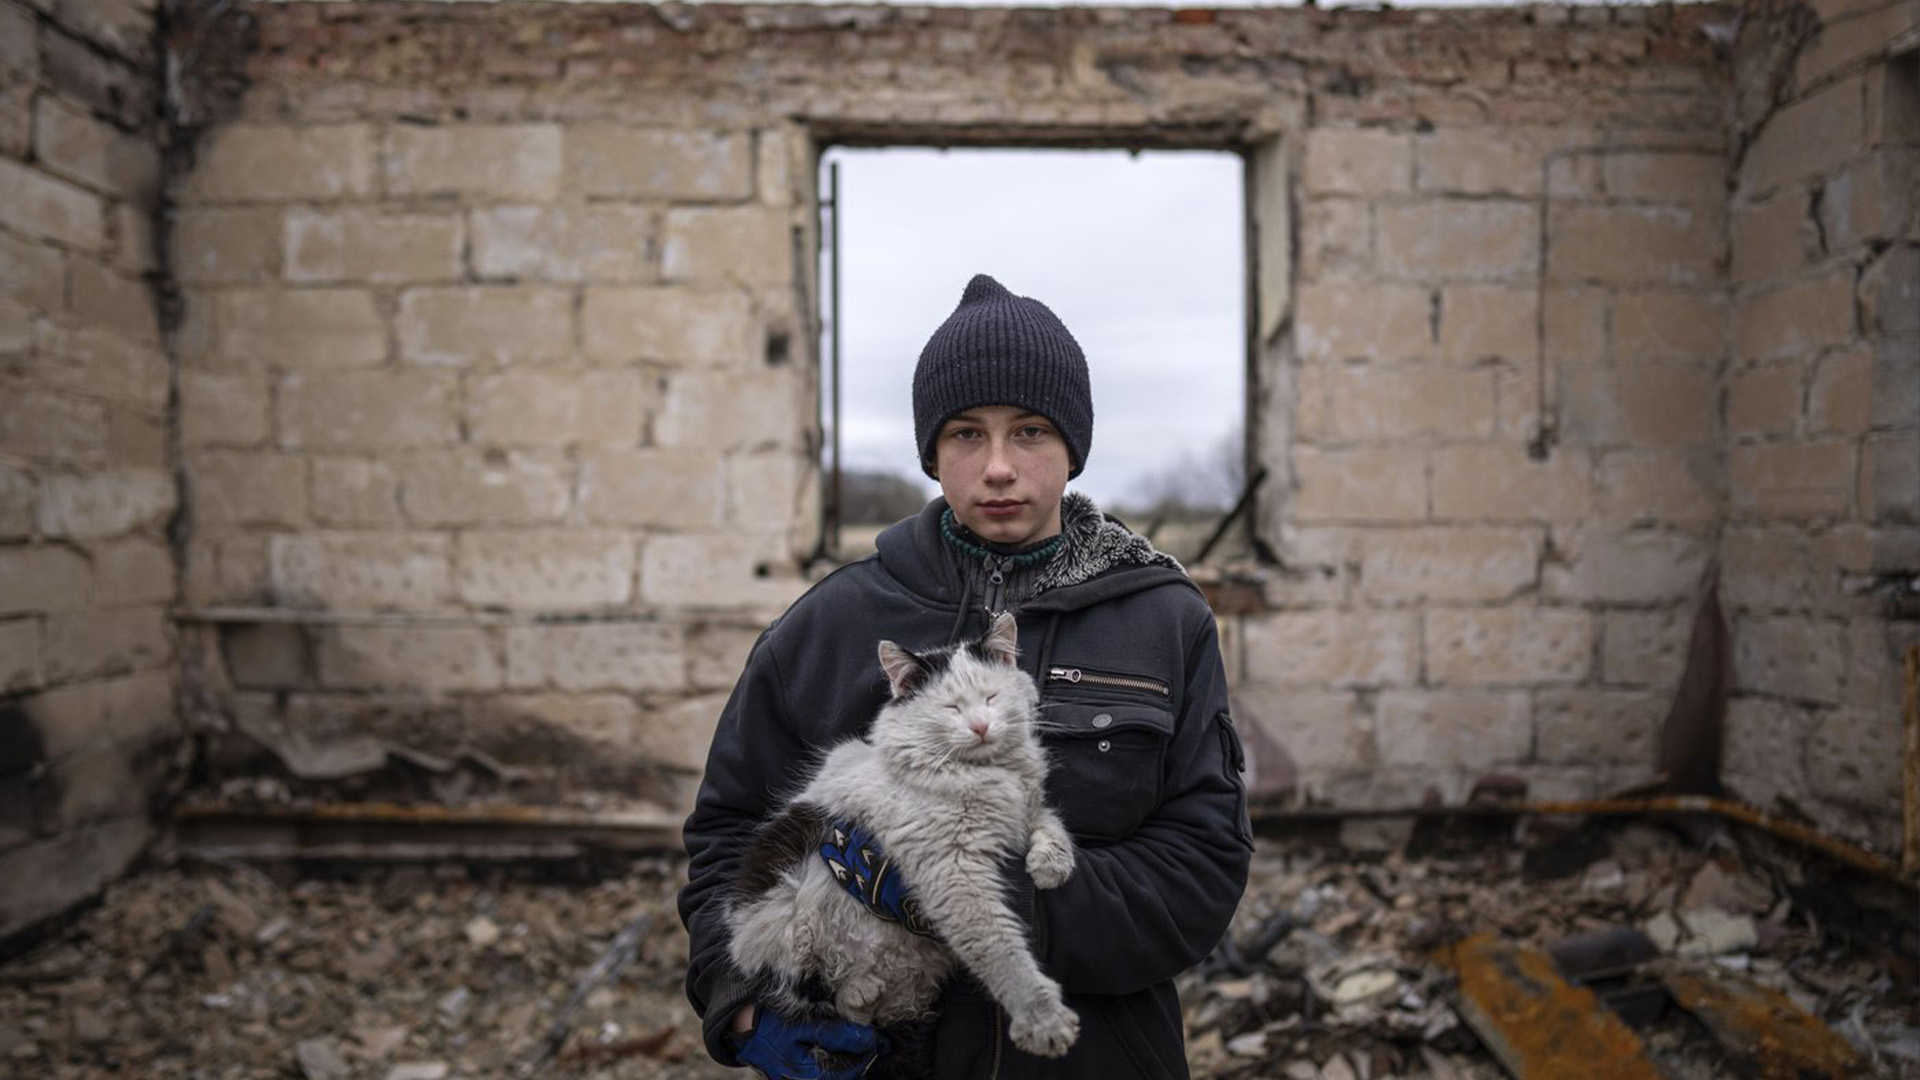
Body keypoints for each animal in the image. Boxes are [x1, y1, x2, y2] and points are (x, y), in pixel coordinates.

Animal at [721, 611, 1082, 1053]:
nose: (981, 726)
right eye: (951, 708)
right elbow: (999, 948)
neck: (990, 773)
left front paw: (1050, 867)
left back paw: (868, 992)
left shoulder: (1026, 810)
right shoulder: (953, 873)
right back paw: (858, 991)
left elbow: (1049, 823)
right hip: (785, 922)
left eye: (991, 698)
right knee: (820, 997)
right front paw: (1043, 1021)